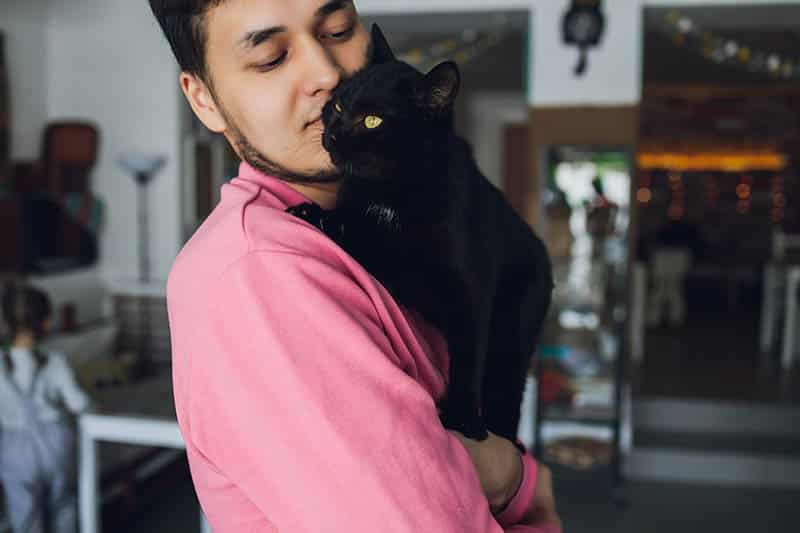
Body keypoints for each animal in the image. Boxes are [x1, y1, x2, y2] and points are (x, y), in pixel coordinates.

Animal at [298, 26, 552, 440]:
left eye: (372, 120)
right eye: (336, 107)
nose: (332, 135)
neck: (391, 191)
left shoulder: (469, 293)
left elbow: (467, 359)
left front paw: (463, 418)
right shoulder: (393, 261)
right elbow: (360, 233)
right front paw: (313, 215)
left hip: (512, 339)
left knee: (505, 397)